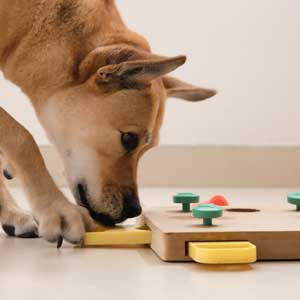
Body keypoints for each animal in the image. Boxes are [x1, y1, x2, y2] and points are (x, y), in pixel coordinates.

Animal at [0, 0, 216, 246]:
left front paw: (11, 211)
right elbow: (21, 137)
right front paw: (56, 208)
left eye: (147, 148)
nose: (134, 210)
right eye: (129, 138)